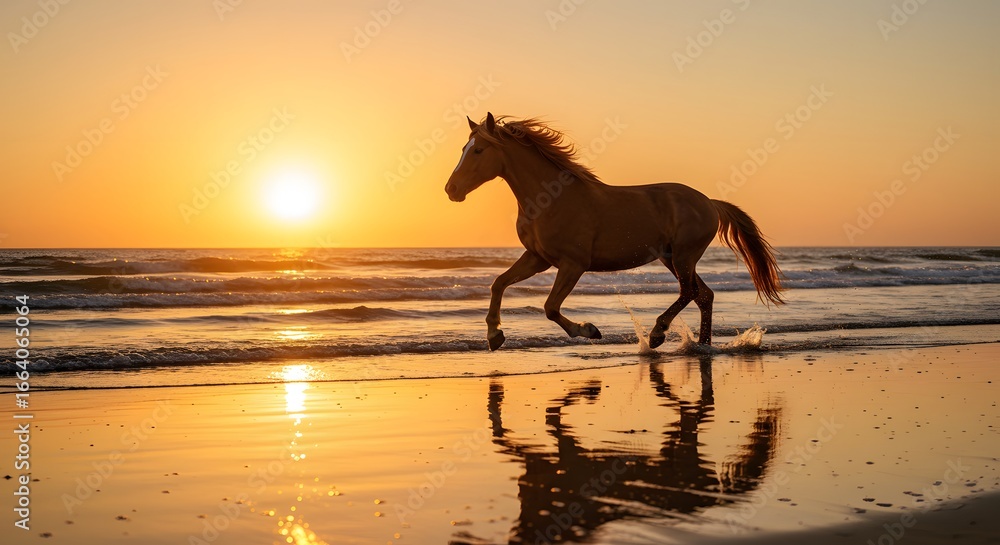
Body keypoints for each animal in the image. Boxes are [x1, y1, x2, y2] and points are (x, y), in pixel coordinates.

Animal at [445, 113, 784, 351]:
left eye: (479, 150)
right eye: (463, 148)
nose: (451, 189)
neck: (550, 198)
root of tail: (710, 203)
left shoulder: (573, 264)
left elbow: (550, 307)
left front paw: (589, 330)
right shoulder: (537, 258)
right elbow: (498, 284)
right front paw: (494, 335)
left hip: (684, 256)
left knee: (689, 292)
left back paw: (658, 334)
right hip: (671, 258)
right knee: (704, 295)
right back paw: (701, 346)